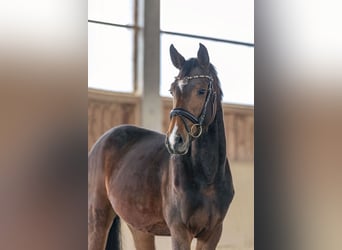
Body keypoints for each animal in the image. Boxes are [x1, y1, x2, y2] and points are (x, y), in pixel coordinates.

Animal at [88, 43, 234, 250]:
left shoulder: (212, 233)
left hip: (139, 227)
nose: (175, 140)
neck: (207, 177)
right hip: (97, 217)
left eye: (201, 90)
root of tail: (101, 142)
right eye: (173, 91)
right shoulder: (180, 231)